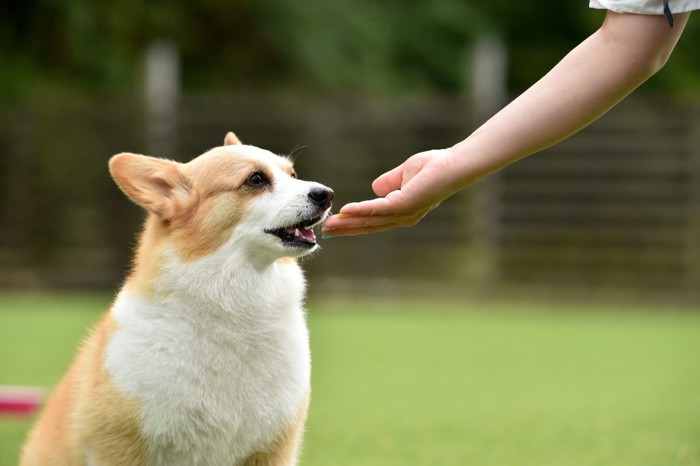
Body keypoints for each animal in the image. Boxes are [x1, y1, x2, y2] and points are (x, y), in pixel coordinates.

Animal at [21, 132, 334, 466]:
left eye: (293, 175)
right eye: (256, 179)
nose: (326, 194)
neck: (231, 307)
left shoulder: (272, 450)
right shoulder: (122, 447)